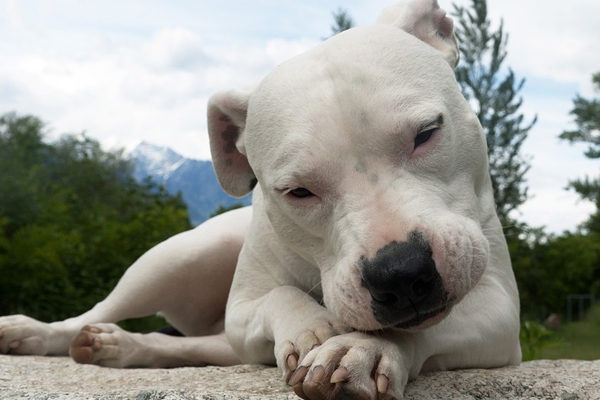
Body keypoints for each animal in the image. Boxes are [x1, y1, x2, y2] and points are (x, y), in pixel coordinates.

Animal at [0, 1, 520, 398]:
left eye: (427, 133)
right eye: (298, 191)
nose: (402, 272)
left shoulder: (499, 312)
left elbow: (432, 323)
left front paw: (366, 348)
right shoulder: (242, 312)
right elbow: (279, 295)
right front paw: (314, 327)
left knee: (199, 347)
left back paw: (122, 347)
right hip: (179, 255)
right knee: (99, 311)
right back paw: (38, 332)